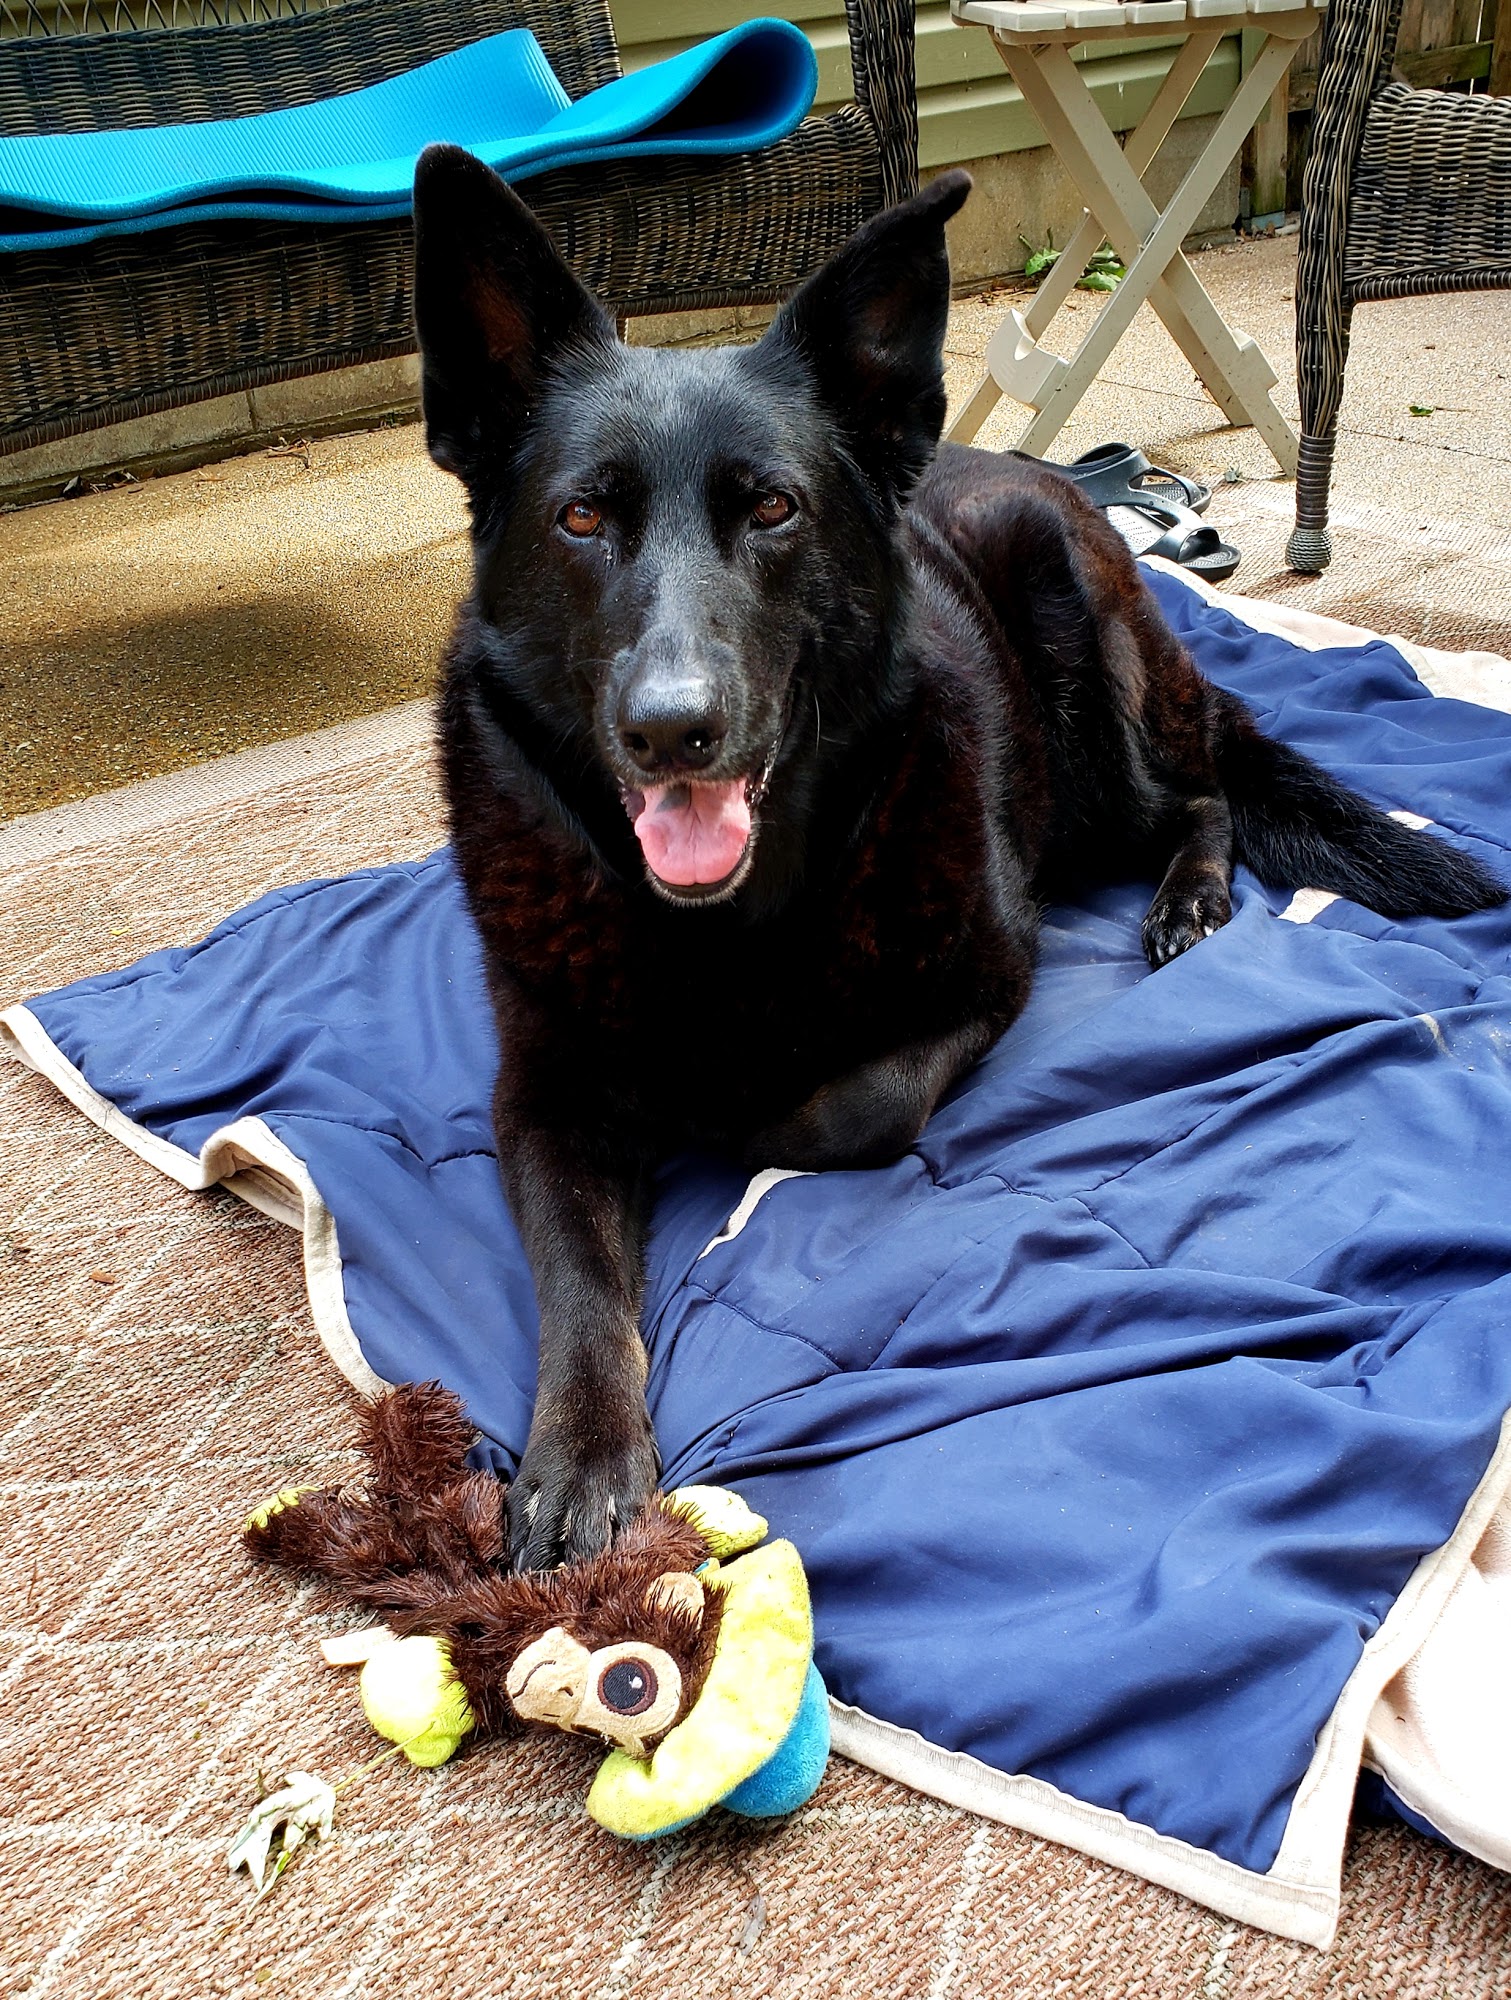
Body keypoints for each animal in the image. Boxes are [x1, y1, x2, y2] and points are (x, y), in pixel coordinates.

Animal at [412, 147, 1505, 1571]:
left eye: (772, 508)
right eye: (581, 515)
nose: (670, 726)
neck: (728, 927)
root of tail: (1035, 470)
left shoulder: (991, 973)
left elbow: (845, 1107)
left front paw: (737, 1118)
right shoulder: (539, 1094)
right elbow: (578, 1278)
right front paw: (583, 1453)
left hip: (1075, 651)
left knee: (1200, 791)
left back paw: (1190, 899)